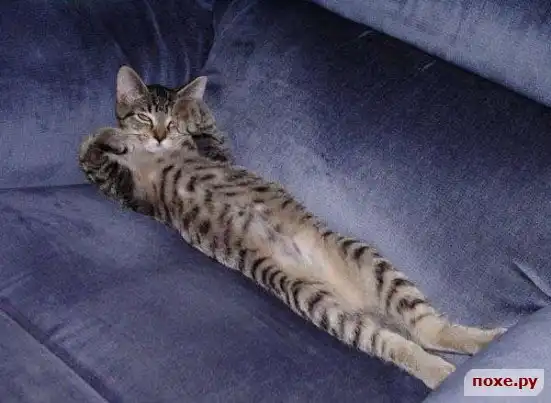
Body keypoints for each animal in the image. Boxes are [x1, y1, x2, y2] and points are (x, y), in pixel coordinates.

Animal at [79, 65, 506, 390]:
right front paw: (112, 135)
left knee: (427, 330)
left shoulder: (213, 157)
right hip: (321, 303)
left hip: (370, 264)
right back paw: (448, 369)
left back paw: (479, 345)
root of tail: (360, 301)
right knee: (399, 342)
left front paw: (191, 104)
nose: (159, 134)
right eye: (144, 116)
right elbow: (92, 152)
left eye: (168, 121)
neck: (157, 154)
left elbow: (205, 132)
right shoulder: (131, 193)